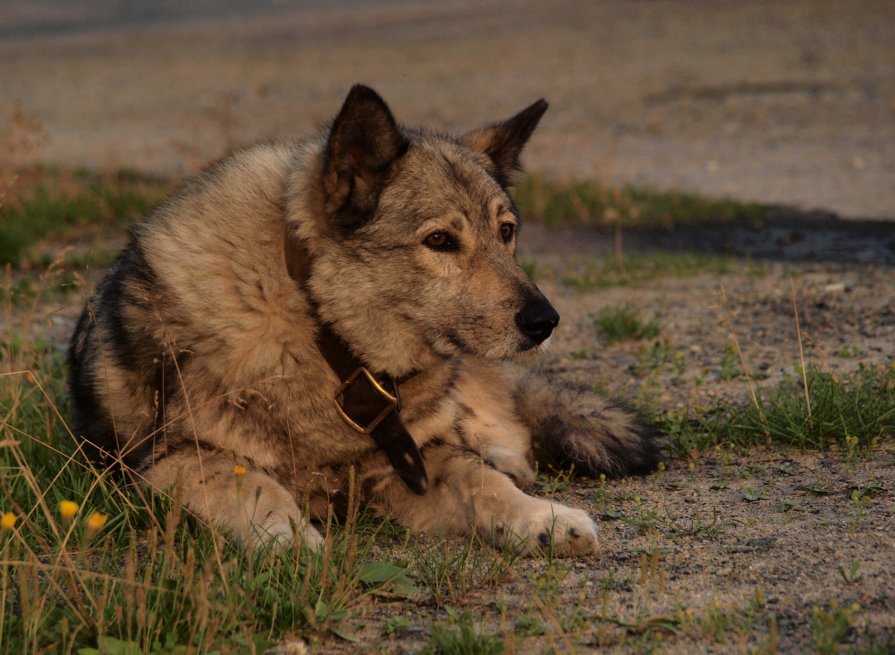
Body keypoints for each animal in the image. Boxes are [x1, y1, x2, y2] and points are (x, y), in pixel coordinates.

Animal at [68, 83, 656, 552]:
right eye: (439, 241)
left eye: (506, 232)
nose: (545, 322)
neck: (325, 334)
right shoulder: (170, 461)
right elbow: (250, 484)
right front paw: (289, 541)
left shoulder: (416, 458)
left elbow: (481, 482)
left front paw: (544, 518)